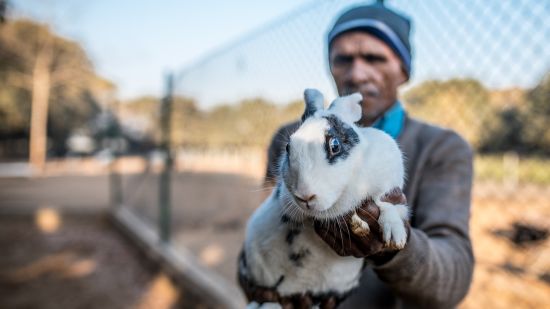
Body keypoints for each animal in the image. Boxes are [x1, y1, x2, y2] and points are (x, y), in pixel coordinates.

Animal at [243, 88, 410, 306]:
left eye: (335, 145)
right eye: (288, 147)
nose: (305, 196)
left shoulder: (389, 182)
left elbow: (385, 204)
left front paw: (394, 235)